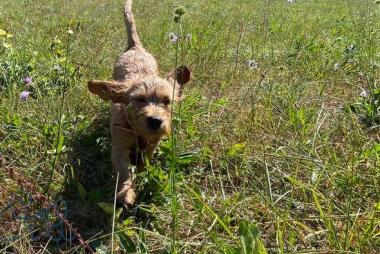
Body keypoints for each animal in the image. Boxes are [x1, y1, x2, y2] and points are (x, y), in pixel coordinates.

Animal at [88, 0, 190, 207]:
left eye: (167, 101)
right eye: (139, 99)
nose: (156, 121)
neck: (137, 130)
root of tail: (135, 47)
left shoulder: (152, 145)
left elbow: (144, 163)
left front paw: (141, 177)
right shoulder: (119, 147)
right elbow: (124, 170)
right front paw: (126, 192)